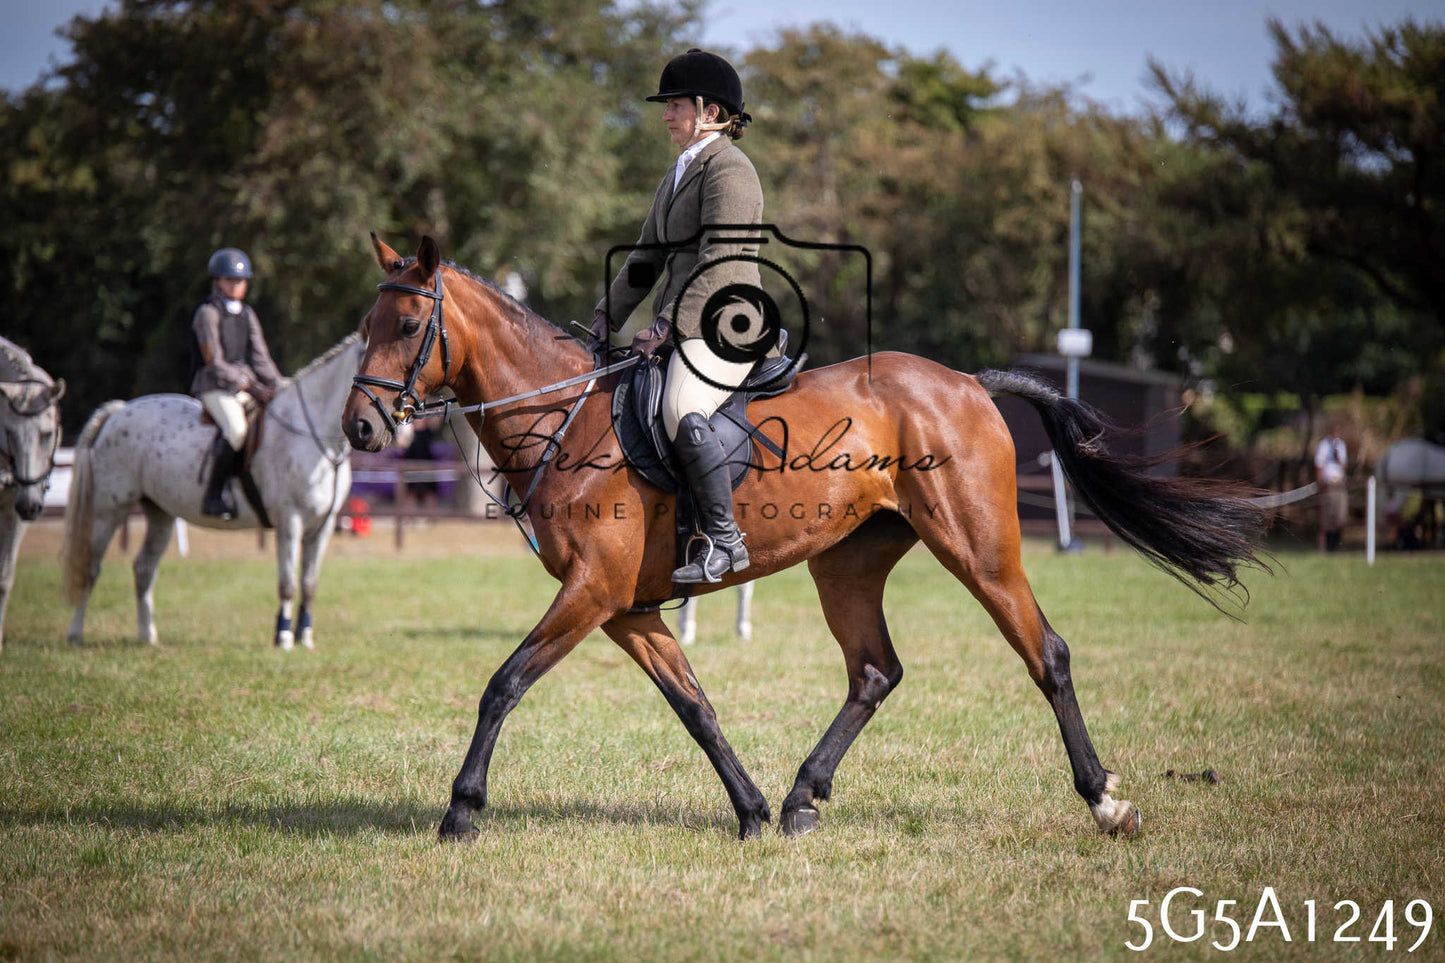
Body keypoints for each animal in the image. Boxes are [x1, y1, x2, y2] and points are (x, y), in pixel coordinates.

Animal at [62, 334, 365, 649]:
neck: (313, 435)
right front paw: (282, 637)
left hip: (160, 512)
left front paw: (304, 637)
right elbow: (288, 583)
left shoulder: (323, 526)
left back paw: (148, 636)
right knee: (90, 568)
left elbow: (309, 583)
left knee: (144, 568)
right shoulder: (289, 520)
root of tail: (119, 411)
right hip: (109, 511)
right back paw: (75, 634)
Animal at [343, 235, 1267, 841]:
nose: (359, 426)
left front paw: (460, 809)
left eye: (406, 327)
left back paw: (1106, 801)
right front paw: (749, 811)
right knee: (874, 671)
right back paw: (799, 798)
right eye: (365, 324)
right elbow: (694, 704)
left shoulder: (592, 592)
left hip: (978, 548)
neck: (566, 415)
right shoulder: (623, 606)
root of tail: (966, 381)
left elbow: (502, 683)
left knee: (1046, 653)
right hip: (847, 563)